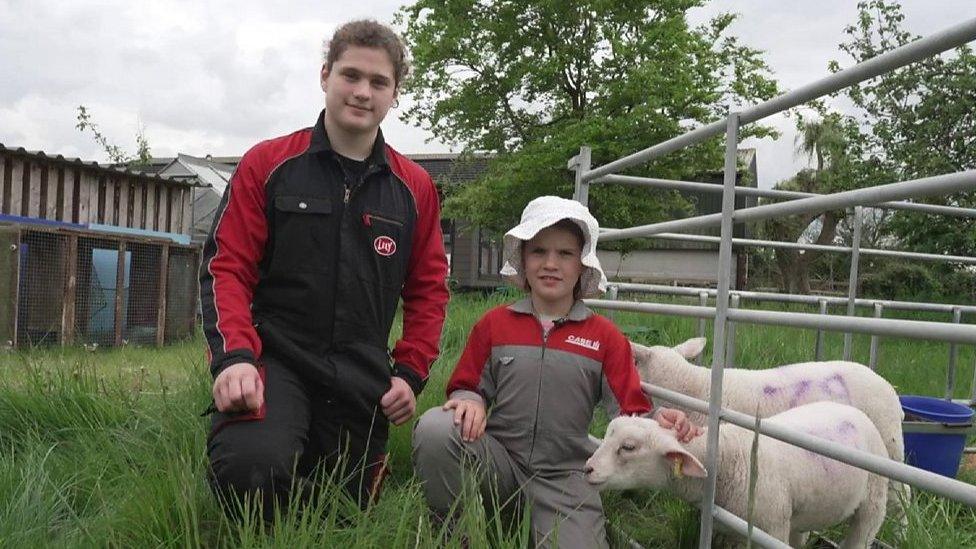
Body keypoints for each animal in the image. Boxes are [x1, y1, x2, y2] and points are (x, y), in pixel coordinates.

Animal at [584, 400, 888, 544]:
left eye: (628, 447)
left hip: (873, 505)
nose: (587, 469)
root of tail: (853, 411)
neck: (730, 457)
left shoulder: (772, 528)